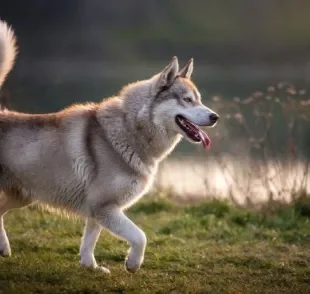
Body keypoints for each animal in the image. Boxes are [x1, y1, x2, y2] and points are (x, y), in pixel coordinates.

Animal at [0, 20, 219, 274]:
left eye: (198, 99)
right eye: (187, 100)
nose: (215, 117)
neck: (129, 130)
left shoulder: (97, 210)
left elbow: (89, 241)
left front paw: (91, 267)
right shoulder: (104, 207)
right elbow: (140, 236)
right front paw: (133, 263)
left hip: (23, 196)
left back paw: (3, 248)